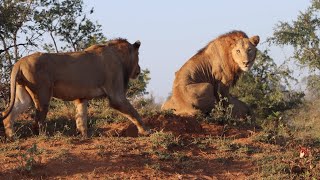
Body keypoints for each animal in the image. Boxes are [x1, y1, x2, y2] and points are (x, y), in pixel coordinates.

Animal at [0, 38, 150, 139]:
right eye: (138, 57)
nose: (139, 70)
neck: (118, 56)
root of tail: (19, 62)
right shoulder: (116, 95)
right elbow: (134, 113)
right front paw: (145, 131)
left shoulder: (81, 97)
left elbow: (81, 117)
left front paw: (84, 136)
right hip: (42, 93)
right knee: (39, 118)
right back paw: (43, 136)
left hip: (23, 96)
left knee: (8, 114)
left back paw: (12, 137)